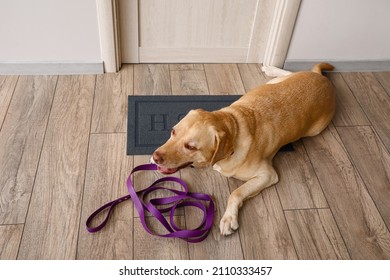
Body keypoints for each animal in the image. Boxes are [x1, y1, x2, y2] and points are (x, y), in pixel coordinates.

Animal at [151, 63, 334, 234]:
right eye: (173, 131)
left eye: (190, 146)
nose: (155, 157)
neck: (232, 129)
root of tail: (322, 79)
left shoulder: (267, 175)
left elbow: (237, 192)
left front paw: (229, 218)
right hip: (274, 83)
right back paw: (272, 69)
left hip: (315, 130)